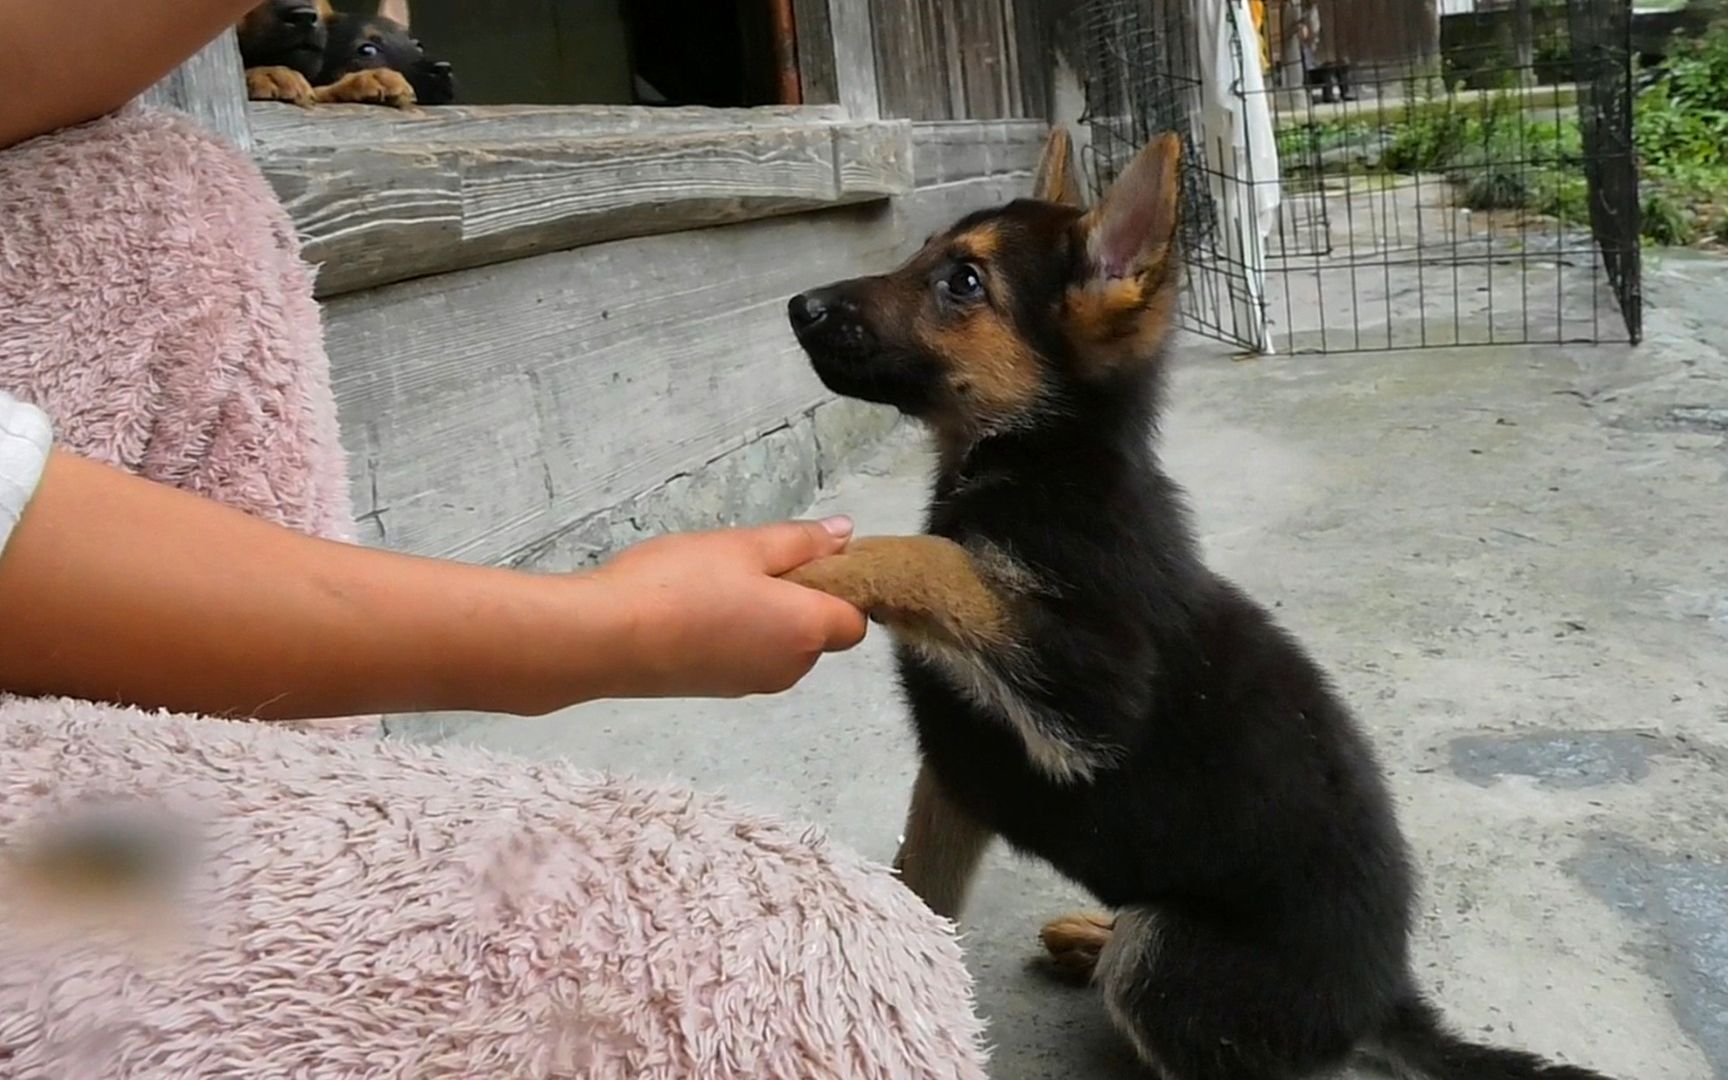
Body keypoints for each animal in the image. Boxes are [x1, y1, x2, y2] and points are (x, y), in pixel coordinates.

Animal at [784, 128, 1617, 1078]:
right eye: (923, 254)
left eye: (962, 281)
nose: (799, 306)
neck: (1043, 462)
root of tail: (1382, 1003)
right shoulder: (960, 772)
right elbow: (918, 884)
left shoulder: (1090, 696)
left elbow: (939, 560)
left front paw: (811, 566)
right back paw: (1088, 937)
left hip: (1169, 956)